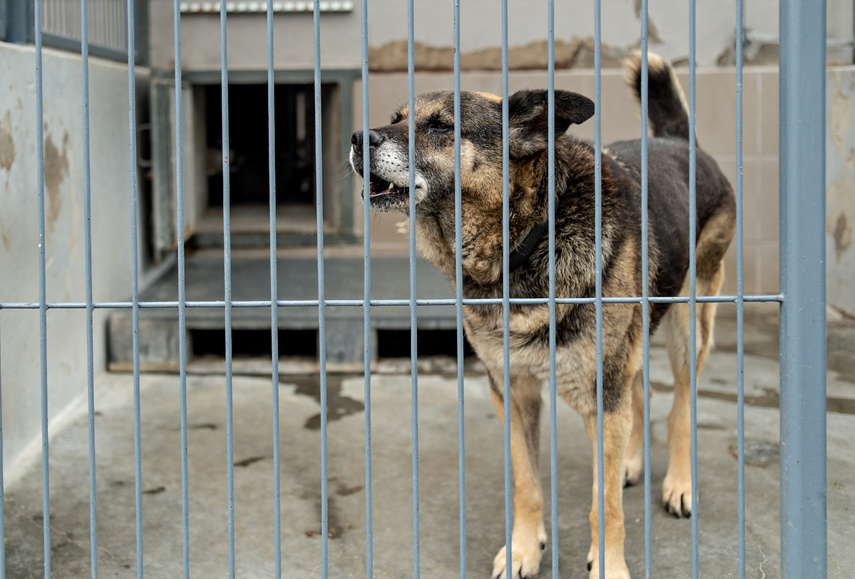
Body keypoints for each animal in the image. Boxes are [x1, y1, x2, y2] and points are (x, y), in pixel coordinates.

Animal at [352, 52, 740, 576]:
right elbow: (526, 483)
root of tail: (680, 142)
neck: (530, 240)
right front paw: (523, 549)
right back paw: (631, 462)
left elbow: (604, 505)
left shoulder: (601, 390)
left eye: (440, 126)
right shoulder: (513, 393)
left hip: (687, 328)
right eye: (395, 120)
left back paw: (678, 483)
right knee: (641, 393)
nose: (358, 139)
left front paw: (610, 565)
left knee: (681, 406)